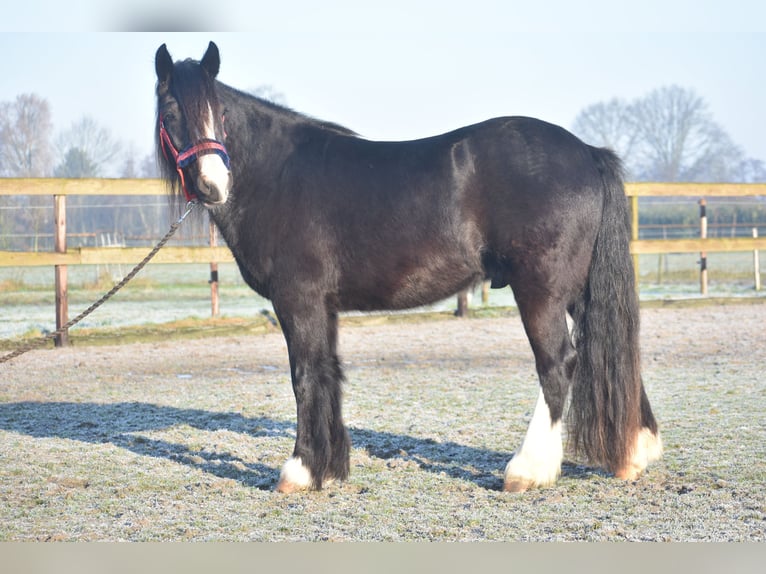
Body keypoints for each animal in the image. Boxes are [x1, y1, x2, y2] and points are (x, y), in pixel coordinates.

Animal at [154, 41, 660, 496]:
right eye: (171, 110)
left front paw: (300, 471)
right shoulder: (323, 307)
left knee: (558, 363)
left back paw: (527, 470)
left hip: (541, 290)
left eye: (218, 112)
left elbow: (305, 375)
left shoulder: (299, 301)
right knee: (610, 348)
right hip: (579, 292)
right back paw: (635, 454)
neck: (277, 174)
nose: (214, 185)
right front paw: (331, 469)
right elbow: (329, 372)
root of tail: (586, 152)